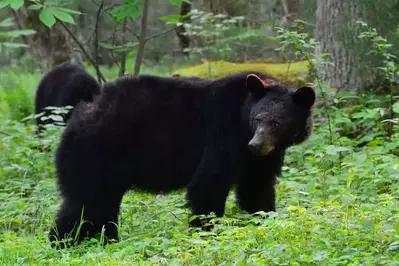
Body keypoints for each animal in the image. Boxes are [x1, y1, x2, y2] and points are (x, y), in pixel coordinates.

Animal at [49, 72, 316, 247]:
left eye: (277, 122)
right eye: (257, 118)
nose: (256, 145)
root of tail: (78, 116)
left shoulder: (260, 160)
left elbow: (257, 190)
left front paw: (265, 222)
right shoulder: (223, 135)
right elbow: (208, 185)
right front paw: (206, 233)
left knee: (102, 205)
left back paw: (106, 240)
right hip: (95, 154)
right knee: (84, 204)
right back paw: (62, 242)